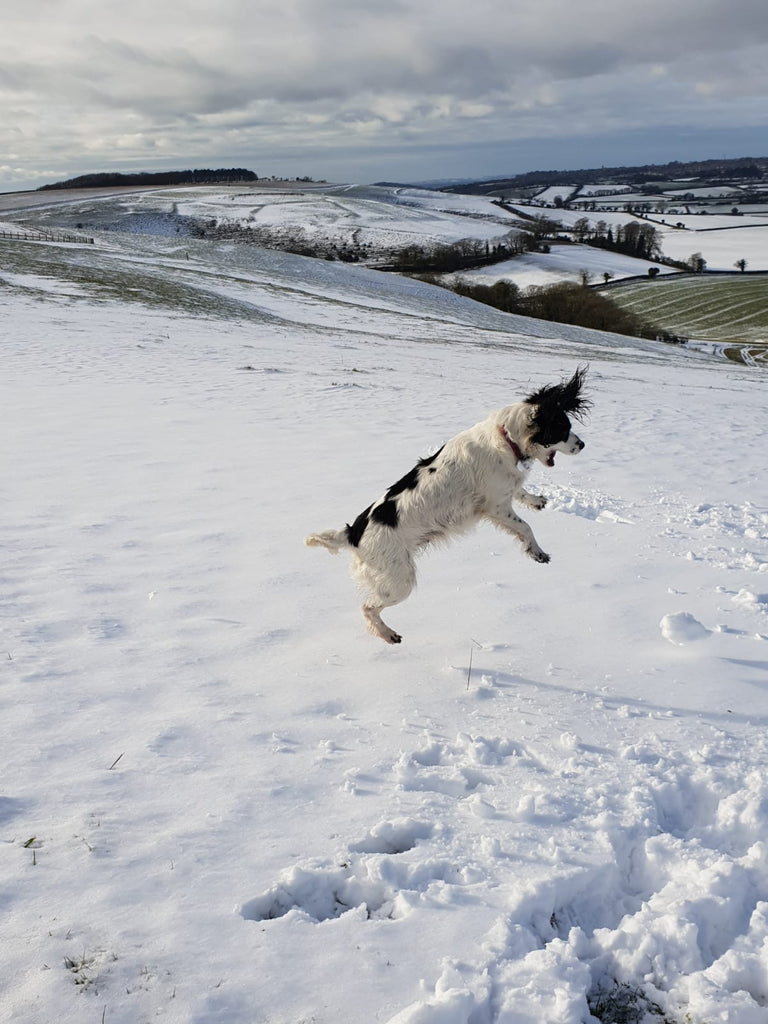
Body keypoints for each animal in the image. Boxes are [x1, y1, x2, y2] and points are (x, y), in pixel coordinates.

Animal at [305, 364, 589, 643]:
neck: (505, 437)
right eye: (563, 429)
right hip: (399, 580)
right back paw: (387, 634)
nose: (583, 444)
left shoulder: (504, 490)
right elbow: (525, 527)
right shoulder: (496, 507)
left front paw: (537, 501)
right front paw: (538, 553)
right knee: (367, 608)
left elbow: (520, 491)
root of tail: (353, 533)